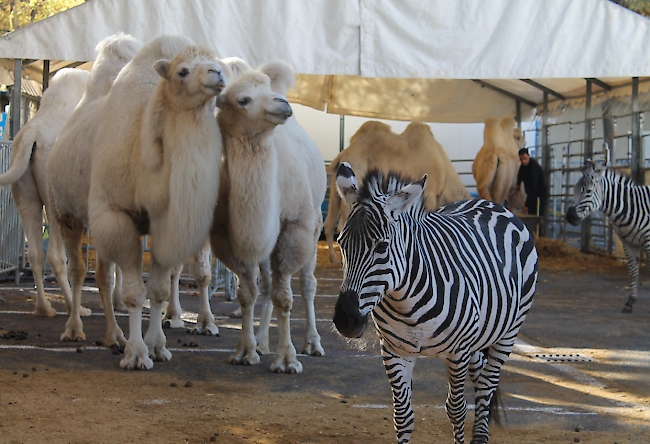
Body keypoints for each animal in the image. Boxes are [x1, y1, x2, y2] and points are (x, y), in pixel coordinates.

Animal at [47, 34, 225, 370]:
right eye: (182, 71)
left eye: (217, 62)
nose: (217, 74)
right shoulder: (117, 214)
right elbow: (133, 294)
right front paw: (137, 354)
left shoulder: (163, 222)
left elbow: (157, 290)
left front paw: (157, 345)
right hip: (67, 214)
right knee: (77, 269)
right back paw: (74, 328)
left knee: (103, 276)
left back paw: (113, 335)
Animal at [210, 58, 324, 372]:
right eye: (243, 99)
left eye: (267, 90)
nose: (283, 104)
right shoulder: (229, 234)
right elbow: (247, 293)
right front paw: (245, 351)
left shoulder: (293, 228)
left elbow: (285, 297)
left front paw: (287, 358)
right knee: (268, 286)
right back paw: (262, 343)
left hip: (314, 225)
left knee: (307, 284)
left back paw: (313, 343)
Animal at [332, 163, 536, 444]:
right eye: (341, 243)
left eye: (382, 247)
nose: (345, 320)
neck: (406, 302)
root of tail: (491, 203)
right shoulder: (394, 351)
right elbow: (402, 415)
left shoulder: (458, 352)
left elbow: (456, 409)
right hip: (477, 338)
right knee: (480, 376)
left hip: (508, 333)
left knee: (486, 387)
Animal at [560, 160, 648, 312]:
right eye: (574, 189)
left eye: (588, 191)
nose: (570, 217)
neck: (632, 207)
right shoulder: (629, 243)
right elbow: (633, 272)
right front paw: (630, 302)